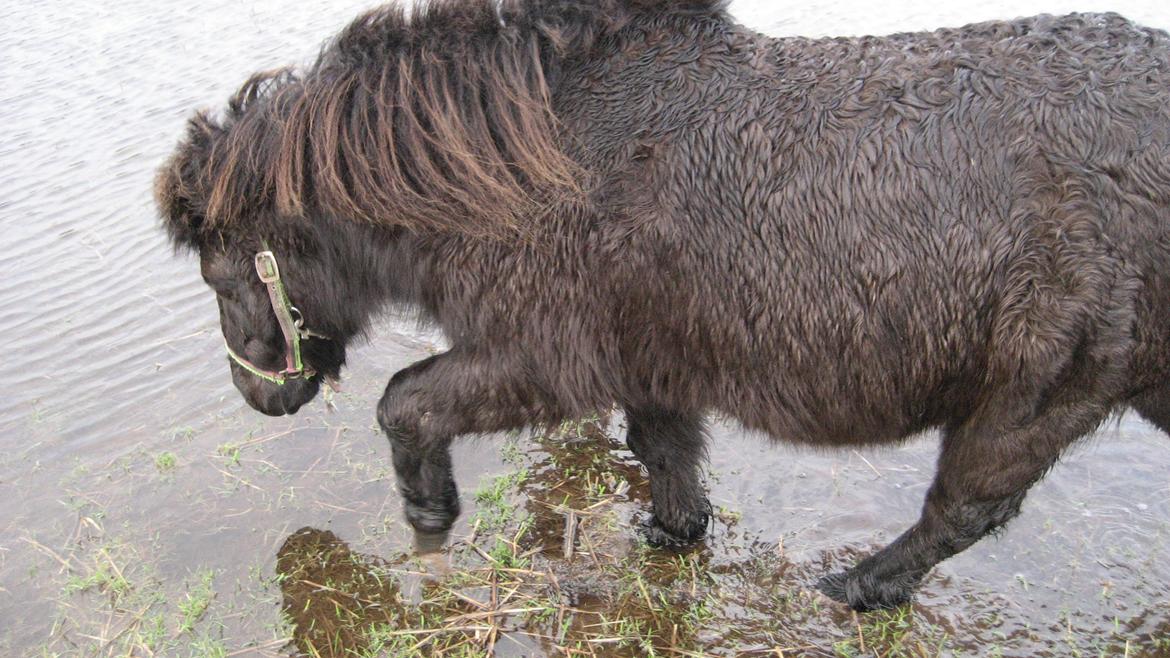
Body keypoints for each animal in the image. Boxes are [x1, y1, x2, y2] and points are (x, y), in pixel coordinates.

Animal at [157, 0, 1170, 608]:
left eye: (219, 277)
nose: (260, 396)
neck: (518, 160)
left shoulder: (544, 358)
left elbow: (404, 402)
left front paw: (429, 519)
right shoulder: (650, 359)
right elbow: (666, 456)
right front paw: (671, 535)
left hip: (1037, 396)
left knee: (965, 511)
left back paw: (855, 587)